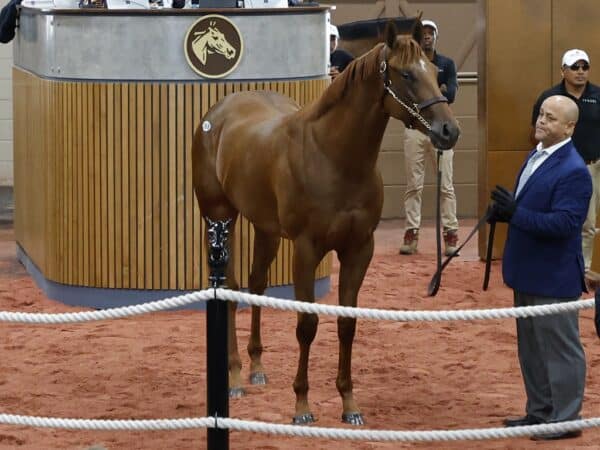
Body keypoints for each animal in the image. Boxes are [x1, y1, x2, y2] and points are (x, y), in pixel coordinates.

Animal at [192, 22, 460, 426]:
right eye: (407, 74)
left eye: (433, 70)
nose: (448, 130)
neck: (334, 156)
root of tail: (219, 113)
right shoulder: (306, 249)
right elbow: (307, 325)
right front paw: (302, 406)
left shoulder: (359, 248)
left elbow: (347, 324)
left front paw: (350, 405)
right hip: (220, 217)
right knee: (230, 290)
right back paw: (235, 378)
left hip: (266, 229)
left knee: (256, 284)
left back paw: (256, 369)